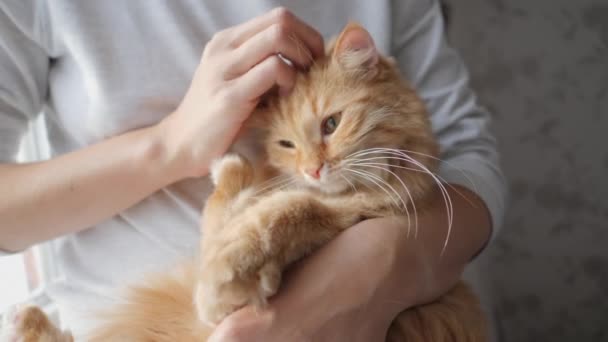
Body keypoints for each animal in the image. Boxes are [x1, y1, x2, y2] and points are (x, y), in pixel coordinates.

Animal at [4, 24, 486, 342]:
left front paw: (230, 272)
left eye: (331, 124)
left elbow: (281, 215)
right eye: (287, 144)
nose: (313, 170)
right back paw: (28, 320)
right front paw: (231, 173)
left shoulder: (356, 212)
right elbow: (222, 212)